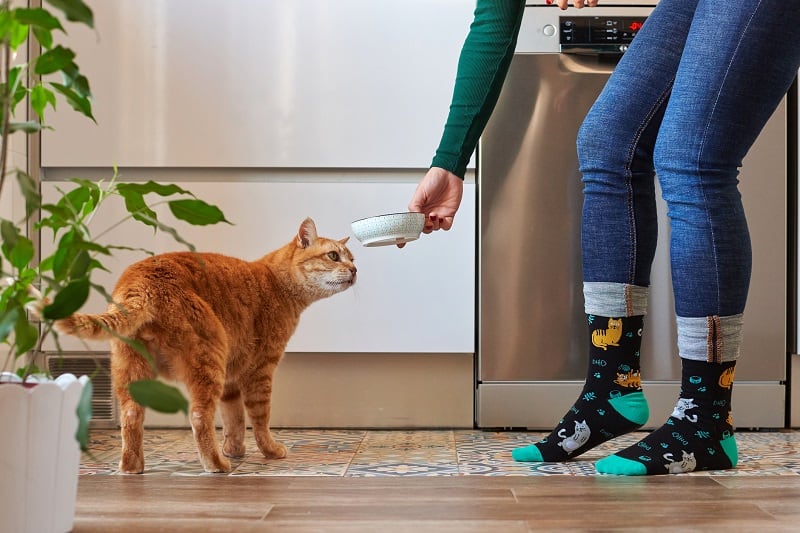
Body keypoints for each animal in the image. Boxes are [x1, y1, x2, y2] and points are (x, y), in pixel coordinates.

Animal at [54, 218, 354, 472]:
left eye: (352, 257)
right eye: (333, 256)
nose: (355, 269)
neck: (276, 282)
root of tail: (140, 284)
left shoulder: (232, 378)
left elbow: (234, 419)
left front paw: (234, 449)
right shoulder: (260, 371)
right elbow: (259, 418)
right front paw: (268, 450)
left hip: (132, 372)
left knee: (131, 417)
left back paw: (131, 467)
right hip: (209, 360)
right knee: (199, 417)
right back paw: (216, 465)